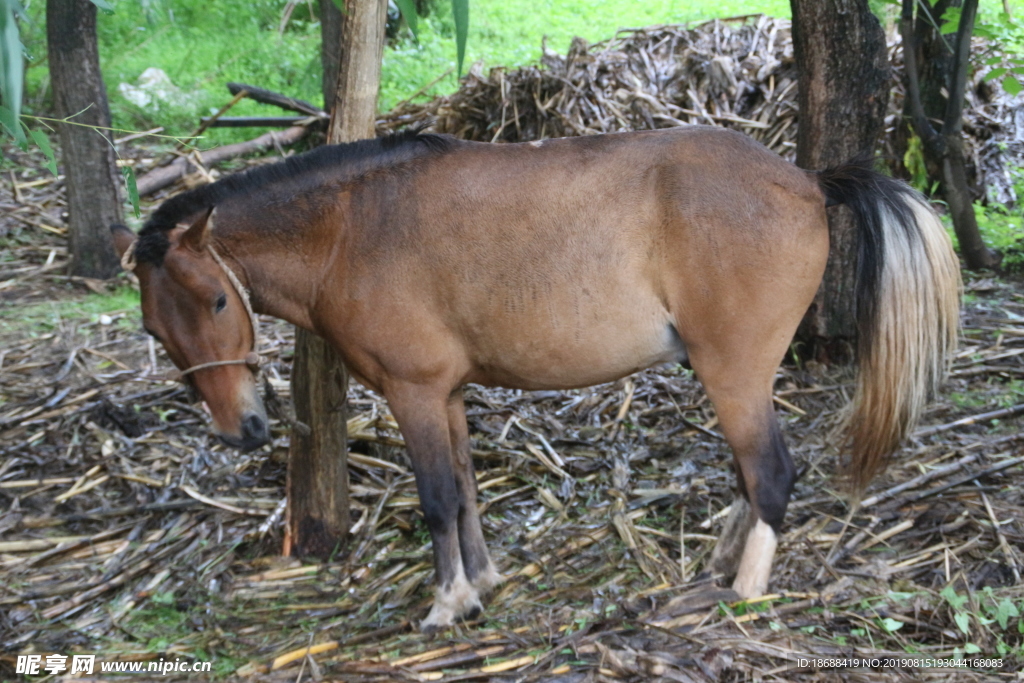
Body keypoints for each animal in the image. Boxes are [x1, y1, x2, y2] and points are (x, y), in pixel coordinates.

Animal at [112, 125, 958, 634]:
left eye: (219, 300)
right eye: (157, 330)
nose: (242, 428)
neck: (351, 228)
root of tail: (808, 181)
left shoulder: (415, 393)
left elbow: (437, 496)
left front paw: (448, 600)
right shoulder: (448, 394)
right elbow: (466, 489)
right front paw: (481, 580)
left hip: (734, 372)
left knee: (772, 473)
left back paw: (744, 591)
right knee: (750, 478)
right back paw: (722, 563)